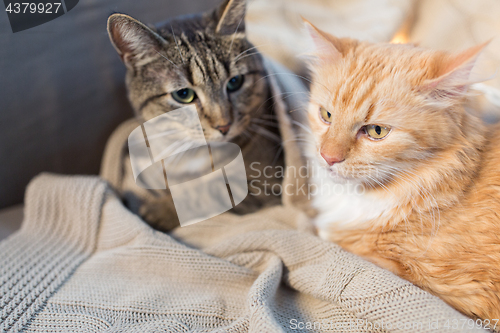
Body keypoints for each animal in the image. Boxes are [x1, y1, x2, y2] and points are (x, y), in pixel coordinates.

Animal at [107, 0, 284, 230]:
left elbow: (207, 192)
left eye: (235, 82)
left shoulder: (266, 181)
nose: (224, 126)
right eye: (184, 95)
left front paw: (159, 210)